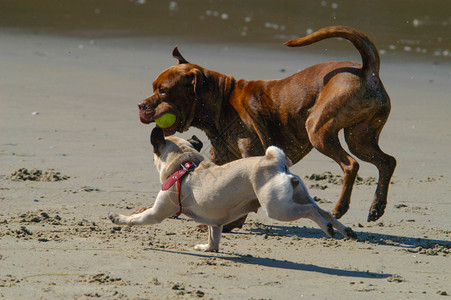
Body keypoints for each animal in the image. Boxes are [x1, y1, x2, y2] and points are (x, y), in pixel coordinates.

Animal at [109, 127, 356, 252]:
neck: (183, 164)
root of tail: (275, 162)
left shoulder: (156, 213)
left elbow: (136, 218)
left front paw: (118, 218)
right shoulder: (215, 223)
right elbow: (214, 238)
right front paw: (207, 248)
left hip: (277, 208)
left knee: (310, 211)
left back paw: (327, 229)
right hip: (296, 195)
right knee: (323, 210)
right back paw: (345, 231)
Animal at [138, 26, 396, 230]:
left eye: (163, 91)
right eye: (154, 87)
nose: (140, 105)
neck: (222, 102)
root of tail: (367, 71)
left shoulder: (250, 154)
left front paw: (231, 224)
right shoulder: (220, 160)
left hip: (318, 130)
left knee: (351, 164)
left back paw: (341, 207)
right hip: (360, 138)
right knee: (387, 162)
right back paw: (377, 207)